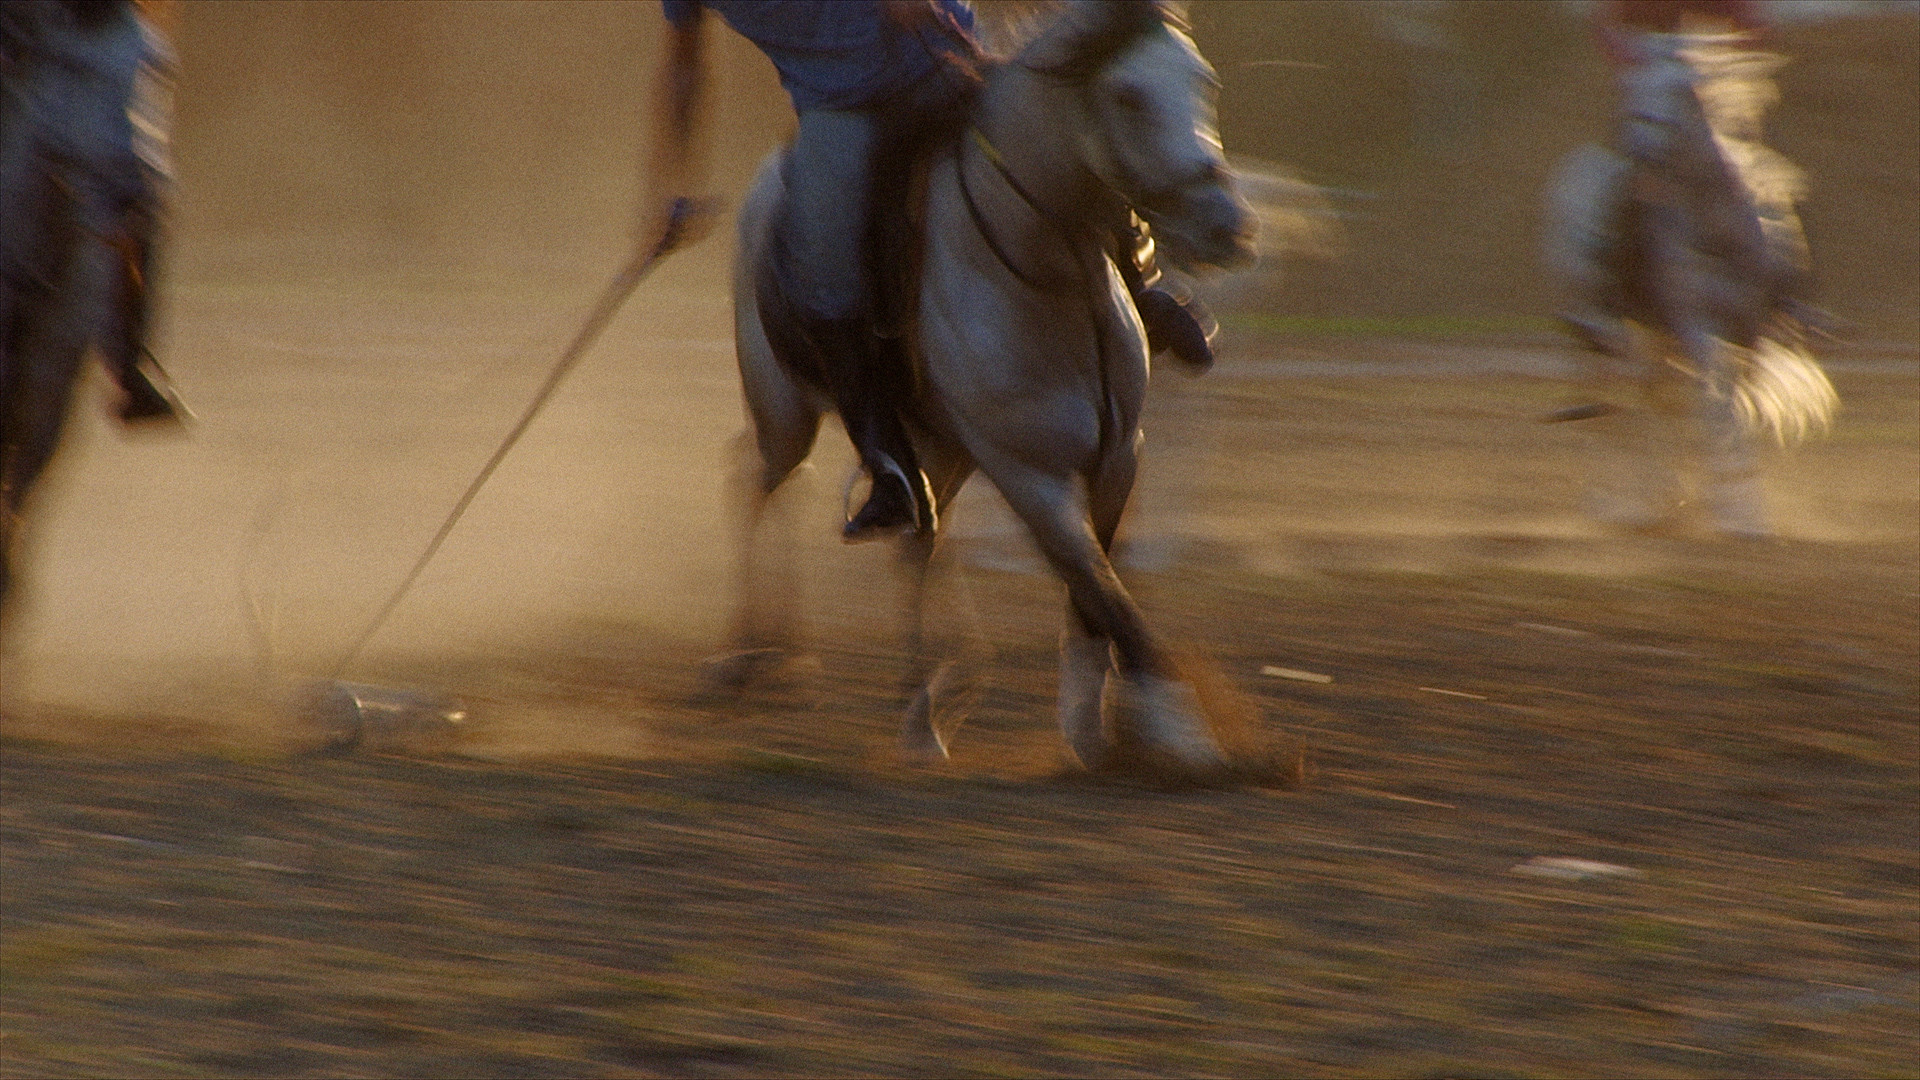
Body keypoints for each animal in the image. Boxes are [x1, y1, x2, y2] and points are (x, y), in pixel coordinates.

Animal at [721, 0, 1259, 772]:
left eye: (1203, 81)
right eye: (1127, 95)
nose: (1229, 226)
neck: (1049, 270)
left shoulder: (1119, 455)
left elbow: (1093, 591)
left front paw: (1094, 727)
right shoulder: (1028, 472)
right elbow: (1104, 592)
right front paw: (1176, 731)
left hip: (937, 449)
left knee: (918, 541)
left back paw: (923, 709)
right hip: (785, 412)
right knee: (755, 480)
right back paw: (751, 662)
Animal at [1536, 31, 1835, 534]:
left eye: (1682, 87)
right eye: (1629, 84)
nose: (1638, 145)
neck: (1714, 227)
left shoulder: (1747, 330)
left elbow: (1731, 404)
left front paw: (1739, 506)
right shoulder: (1695, 324)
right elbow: (1712, 405)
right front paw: (1732, 508)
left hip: (1656, 336)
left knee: (1657, 400)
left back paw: (1669, 495)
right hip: (1609, 328)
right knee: (1617, 404)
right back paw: (1620, 503)